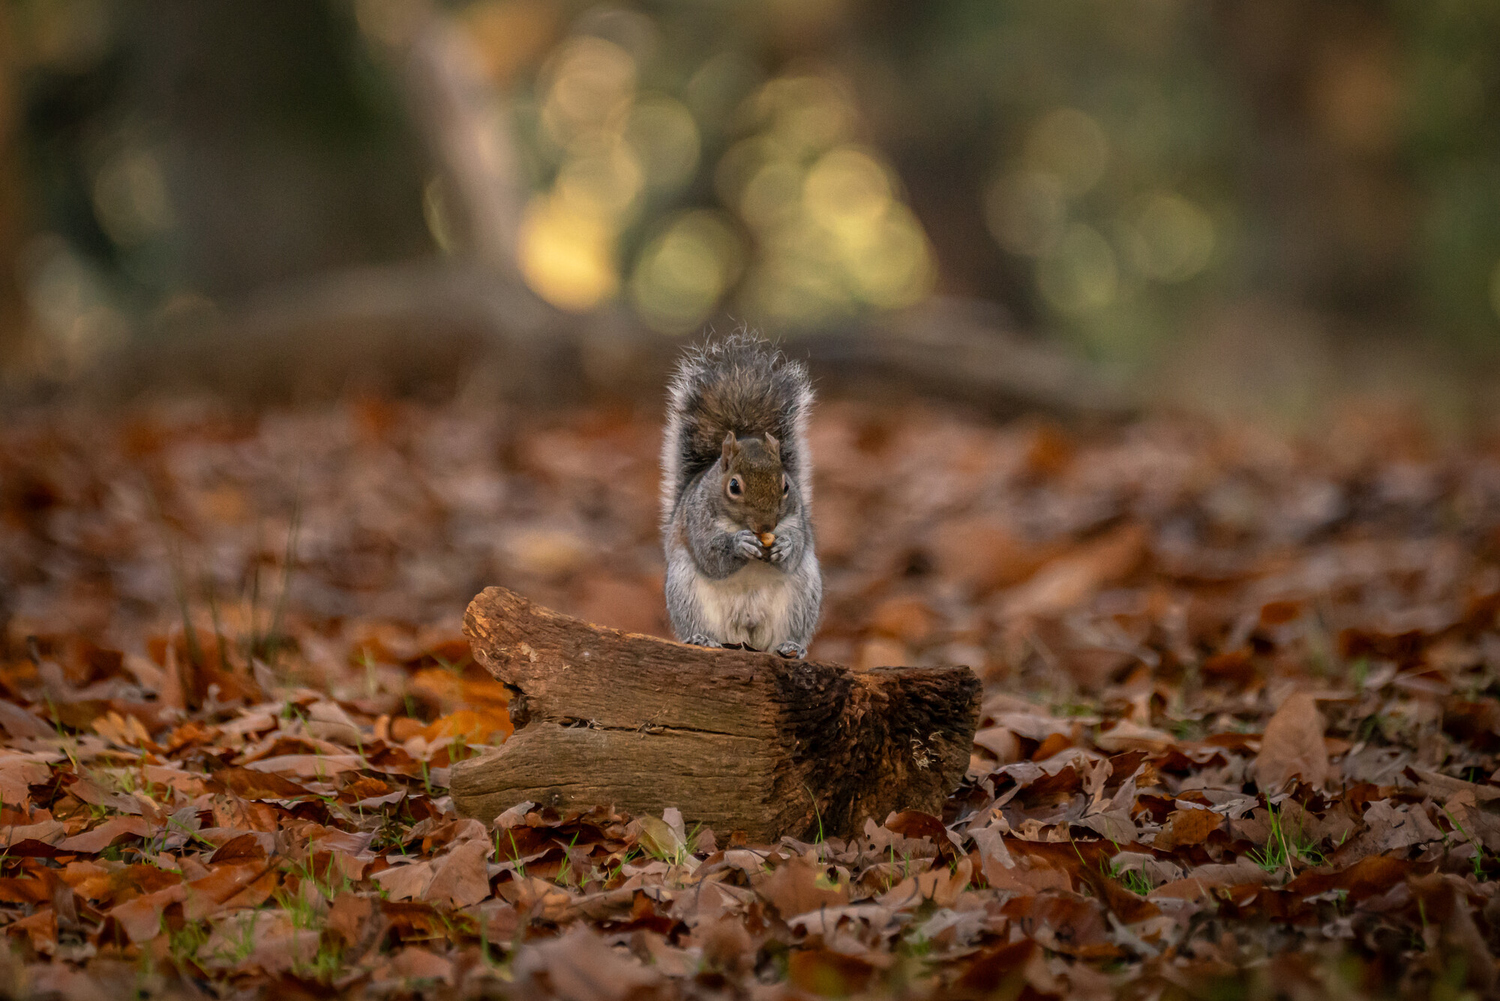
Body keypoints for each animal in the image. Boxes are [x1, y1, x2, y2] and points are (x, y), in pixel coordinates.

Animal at [661, 332, 823, 659]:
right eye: (734, 486)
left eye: (786, 486)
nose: (766, 526)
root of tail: (747, 628)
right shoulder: (698, 522)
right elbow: (711, 556)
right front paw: (739, 544)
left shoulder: (797, 520)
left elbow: (797, 546)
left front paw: (784, 546)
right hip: (687, 592)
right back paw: (702, 638)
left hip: (802, 594)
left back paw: (792, 646)